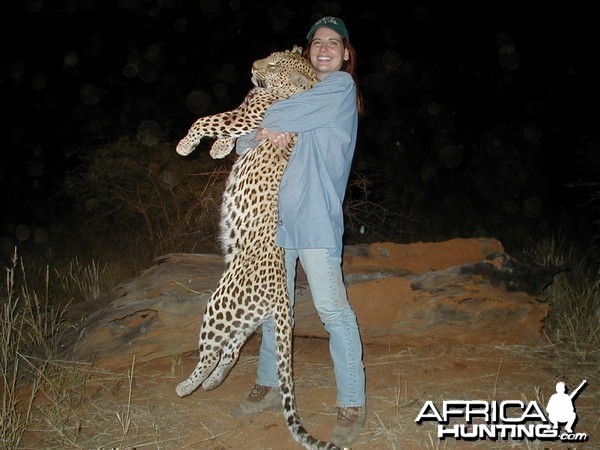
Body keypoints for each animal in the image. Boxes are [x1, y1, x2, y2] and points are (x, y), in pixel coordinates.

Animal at [176, 46, 340, 450]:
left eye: (275, 65)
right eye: (271, 55)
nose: (253, 66)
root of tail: (282, 292)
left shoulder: (248, 115)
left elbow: (207, 119)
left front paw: (187, 144)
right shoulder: (244, 117)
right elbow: (223, 130)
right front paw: (219, 150)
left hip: (221, 303)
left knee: (211, 350)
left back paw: (187, 386)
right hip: (243, 315)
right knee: (231, 350)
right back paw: (211, 383)